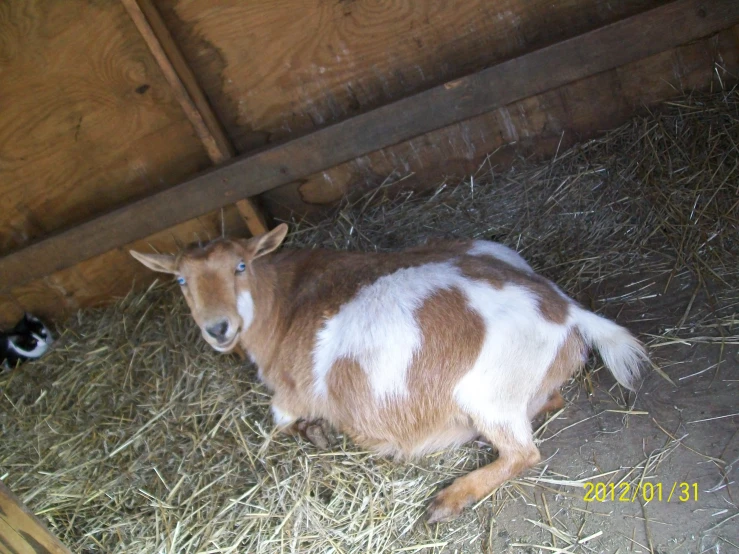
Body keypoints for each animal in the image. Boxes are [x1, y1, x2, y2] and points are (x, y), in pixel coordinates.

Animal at [132, 222, 648, 520]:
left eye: (240, 266)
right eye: (181, 279)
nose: (217, 328)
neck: (285, 302)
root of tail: (564, 309)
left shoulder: (288, 396)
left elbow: (282, 422)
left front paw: (316, 432)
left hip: (489, 395)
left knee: (524, 453)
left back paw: (449, 499)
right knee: (548, 402)